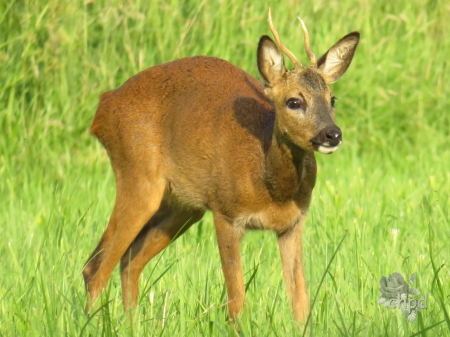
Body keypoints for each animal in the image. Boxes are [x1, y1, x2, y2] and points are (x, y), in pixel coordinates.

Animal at [82, 9, 360, 322]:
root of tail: (103, 107)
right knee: (96, 267)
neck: (270, 184)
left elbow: (301, 303)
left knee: (129, 260)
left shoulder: (293, 224)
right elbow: (236, 302)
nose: (332, 134)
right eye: (294, 101)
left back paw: (133, 324)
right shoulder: (226, 213)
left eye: (332, 99)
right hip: (138, 177)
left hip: (182, 206)